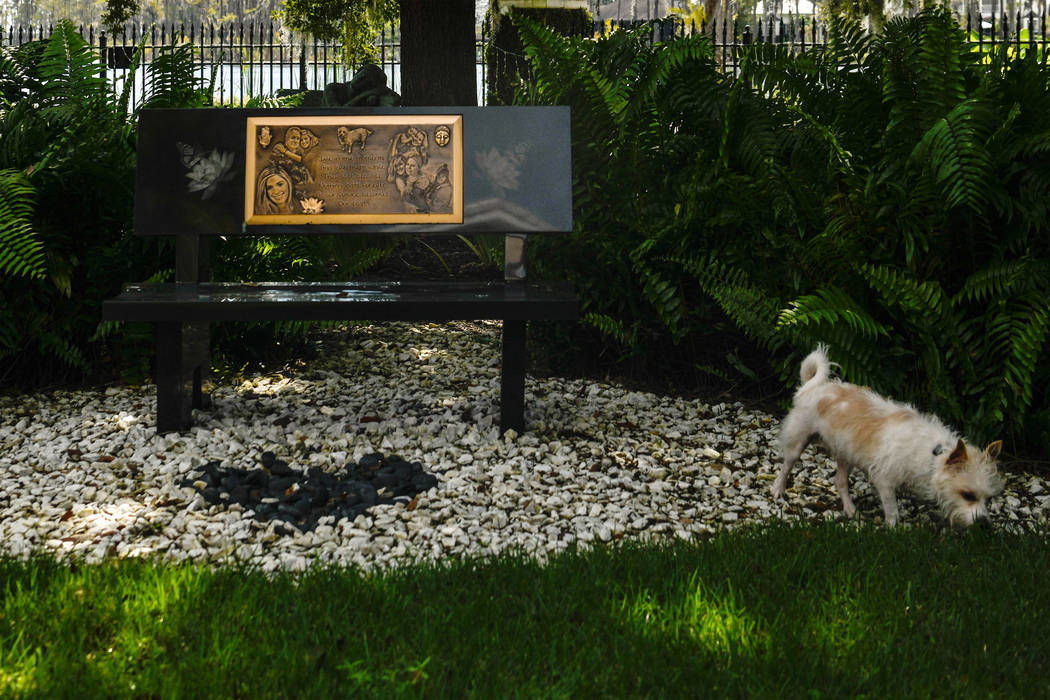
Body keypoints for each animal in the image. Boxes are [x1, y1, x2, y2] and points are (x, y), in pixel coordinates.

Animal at [776, 344, 1003, 524]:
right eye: (968, 495)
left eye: (989, 499)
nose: (984, 523)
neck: (934, 452)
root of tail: (813, 388)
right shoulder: (884, 481)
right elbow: (892, 511)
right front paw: (893, 530)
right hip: (798, 442)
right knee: (786, 466)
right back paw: (777, 490)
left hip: (844, 452)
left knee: (840, 482)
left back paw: (850, 509)